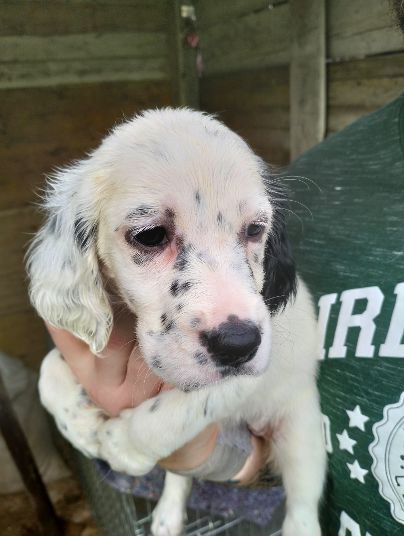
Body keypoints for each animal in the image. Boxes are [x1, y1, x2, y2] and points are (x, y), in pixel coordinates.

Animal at [26, 109, 326, 536]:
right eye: (150, 235)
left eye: (255, 229)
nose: (239, 343)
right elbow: (48, 370)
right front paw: (80, 424)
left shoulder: (256, 370)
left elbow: (176, 411)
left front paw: (121, 443)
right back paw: (167, 514)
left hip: (302, 430)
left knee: (302, 505)